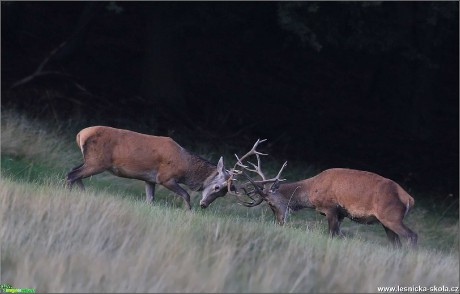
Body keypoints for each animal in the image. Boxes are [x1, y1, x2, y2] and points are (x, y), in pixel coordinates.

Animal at [65, 126, 232, 209]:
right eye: (217, 187)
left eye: (223, 194)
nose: (204, 205)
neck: (185, 167)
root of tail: (80, 135)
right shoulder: (165, 177)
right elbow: (186, 194)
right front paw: (188, 211)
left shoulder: (149, 179)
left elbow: (150, 199)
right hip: (97, 161)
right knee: (71, 175)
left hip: (90, 160)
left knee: (74, 171)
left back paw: (83, 193)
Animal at [222, 140, 416, 248]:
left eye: (271, 203)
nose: (279, 222)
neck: (312, 192)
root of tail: (409, 198)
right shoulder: (341, 213)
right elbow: (337, 234)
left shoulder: (330, 207)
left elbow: (332, 234)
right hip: (386, 222)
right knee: (396, 243)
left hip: (391, 216)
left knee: (412, 236)